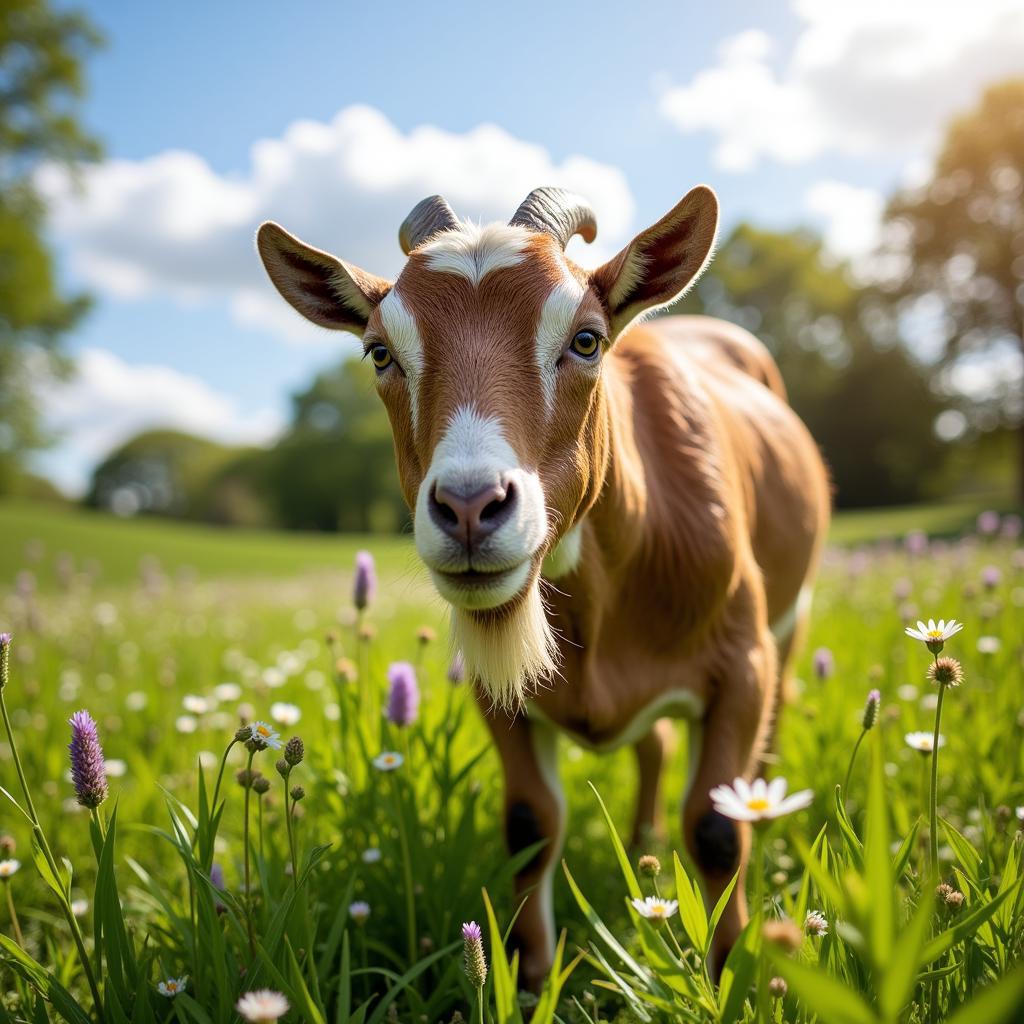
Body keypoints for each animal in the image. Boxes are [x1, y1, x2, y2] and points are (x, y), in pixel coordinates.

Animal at [256, 188, 831, 987]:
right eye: (380, 352)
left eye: (586, 339)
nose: (470, 506)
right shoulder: (499, 694)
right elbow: (530, 823)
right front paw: (527, 982)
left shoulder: (741, 664)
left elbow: (718, 827)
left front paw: (733, 982)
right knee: (652, 744)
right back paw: (641, 839)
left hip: (791, 619)